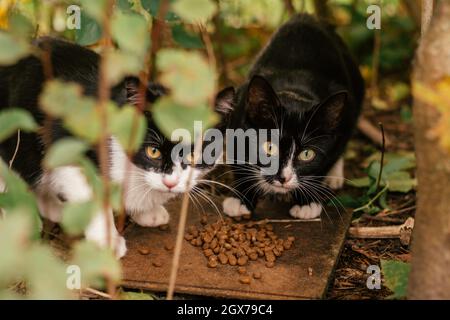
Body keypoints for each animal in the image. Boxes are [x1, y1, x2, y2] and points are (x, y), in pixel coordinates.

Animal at [0, 38, 225, 258]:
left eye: (194, 154)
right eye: (153, 151)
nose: (171, 182)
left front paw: (148, 211)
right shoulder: (67, 147)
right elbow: (93, 195)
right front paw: (107, 241)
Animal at [219, 14, 366, 220]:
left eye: (307, 154)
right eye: (269, 147)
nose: (284, 178)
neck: (295, 92)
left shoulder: (347, 117)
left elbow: (326, 160)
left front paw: (307, 202)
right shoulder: (237, 114)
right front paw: (241, 199)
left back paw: (334, 176)